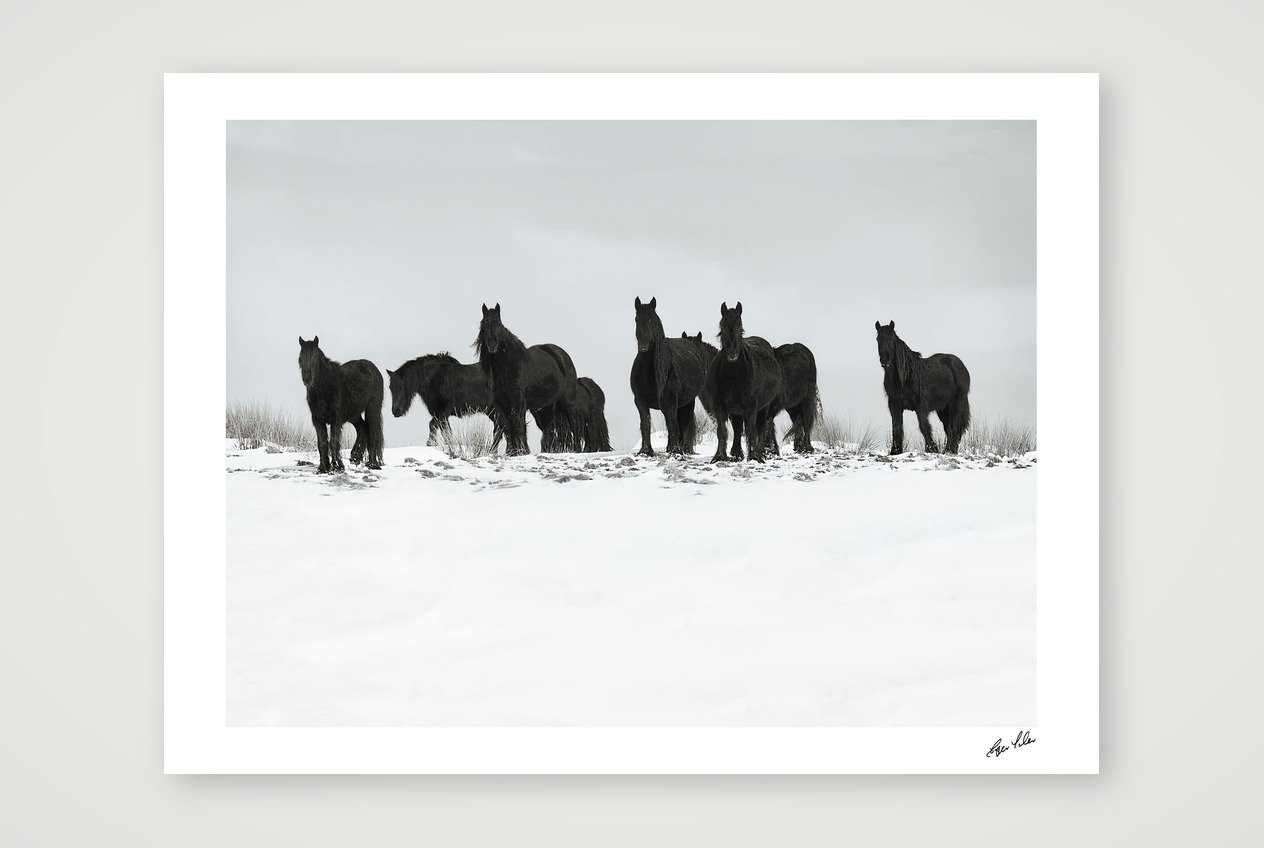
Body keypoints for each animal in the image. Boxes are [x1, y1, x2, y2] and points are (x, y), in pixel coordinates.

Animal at [297, 336, 385, 472]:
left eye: (315, 358)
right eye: (300, 358)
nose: (306, 379)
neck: (325, 388)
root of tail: (374, 369)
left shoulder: (336, 419)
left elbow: (334, 440)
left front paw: (336, 466)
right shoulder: (317, 419)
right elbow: (322, 442)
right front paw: (323, 467)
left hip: (373, 409)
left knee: (372, 432)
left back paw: (372, 464)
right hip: (353, 415)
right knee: (363, 428)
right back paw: (356, 457)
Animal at [474, 303, 578, 456]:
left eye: (498, 324)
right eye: (484, 325)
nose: (492, 344)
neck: (508, 368)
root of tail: (563, 356)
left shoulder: (518, 401)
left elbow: (518, 425)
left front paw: (522, 451)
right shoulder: (501, 404)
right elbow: (506, 428)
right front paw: (511, 452)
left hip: (567, 404)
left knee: (574, 426)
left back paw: (578, 450)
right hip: (544, 408)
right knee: (548, 431)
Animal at [629, 297, 710, 456]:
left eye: (651, 319)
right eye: (636, 319)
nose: (643, 346)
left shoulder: (670, 402)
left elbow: (673, 425)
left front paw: (674, 450)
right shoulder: (640, 402)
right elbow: (645, 424)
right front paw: (645, 451)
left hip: (688, 401)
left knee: (684, 422)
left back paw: (683, 449)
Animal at [705, 302, 783, 463]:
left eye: (740, 326)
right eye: (722, 325)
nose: (732, 354)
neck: (733, 375)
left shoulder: (751, 407)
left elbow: (751, 431)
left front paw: (754, 457)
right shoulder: (719, 405)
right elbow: (722, 431)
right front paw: (720, 456)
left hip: (764, 407)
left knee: (762, 428)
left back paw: (759, 453)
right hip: (736, 410)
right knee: (737, 429)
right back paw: (737, 453)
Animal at [875, 320, 971, 454]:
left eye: (891, 339)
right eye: (878, 339)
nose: (884, 360)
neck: (906, 376)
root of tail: (960, 364)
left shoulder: (921, 406)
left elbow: (924, 426)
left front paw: (931, 449)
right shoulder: (894, 405)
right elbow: (897, 427)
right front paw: (895, 451)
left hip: (956, 404)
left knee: (953, 427)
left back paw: (948, 450)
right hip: (943, 409)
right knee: (949, 428)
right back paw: (951, 450)